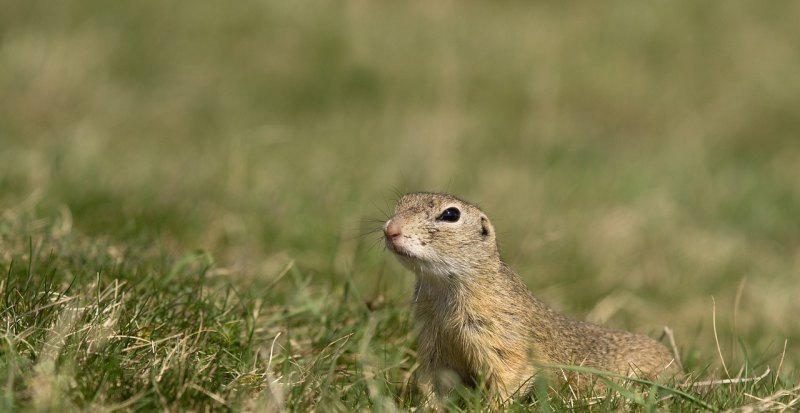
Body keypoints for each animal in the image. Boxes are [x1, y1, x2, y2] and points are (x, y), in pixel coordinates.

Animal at [384, 192, 680, 400]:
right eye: (400, 203)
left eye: (450, 214)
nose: (390, 230)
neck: (443, 289)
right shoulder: (433, 341)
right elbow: (433, 382)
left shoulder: (502, 338)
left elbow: (510, 377)